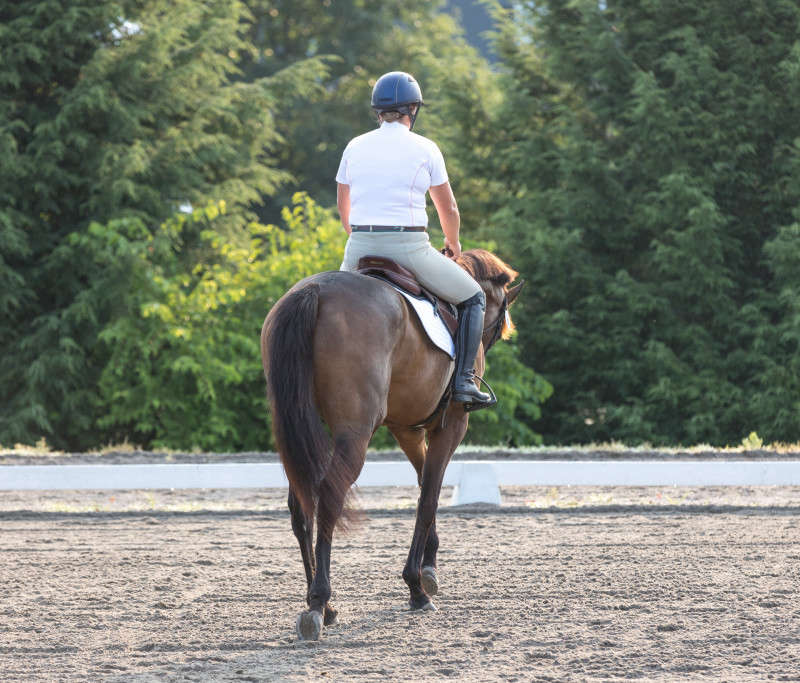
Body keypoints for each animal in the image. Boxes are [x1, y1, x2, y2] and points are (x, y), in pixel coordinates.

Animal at [260, 250, 520, 640]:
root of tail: (316, 291)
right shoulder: (452, 425)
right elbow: (429, 497)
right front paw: (416, 586)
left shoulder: (405, 428)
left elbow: (425, 481)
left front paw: (428, 569)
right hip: (355, 433)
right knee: (330, 497)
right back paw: (319, 602)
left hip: (297, 427)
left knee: (301, 505)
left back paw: (324, 606)